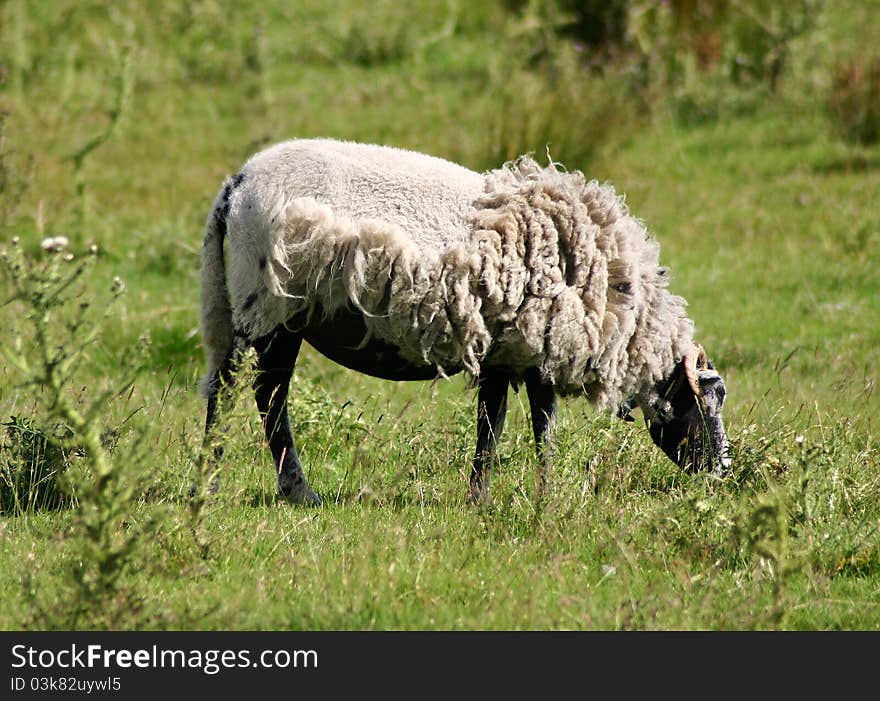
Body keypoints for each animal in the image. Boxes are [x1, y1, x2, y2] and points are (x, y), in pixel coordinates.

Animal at [199, 139, 728, 504]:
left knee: (264, 395)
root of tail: (237, 184)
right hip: (266, 305)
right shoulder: (529, 349)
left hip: (278, 314)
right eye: (710, 400)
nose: (723, 473)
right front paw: (523, 498)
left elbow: (509, 427)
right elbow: (521, 428)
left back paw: (286, 489)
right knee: (238, 393)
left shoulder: (511, 352)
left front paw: (498, 497)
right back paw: (218, 484)